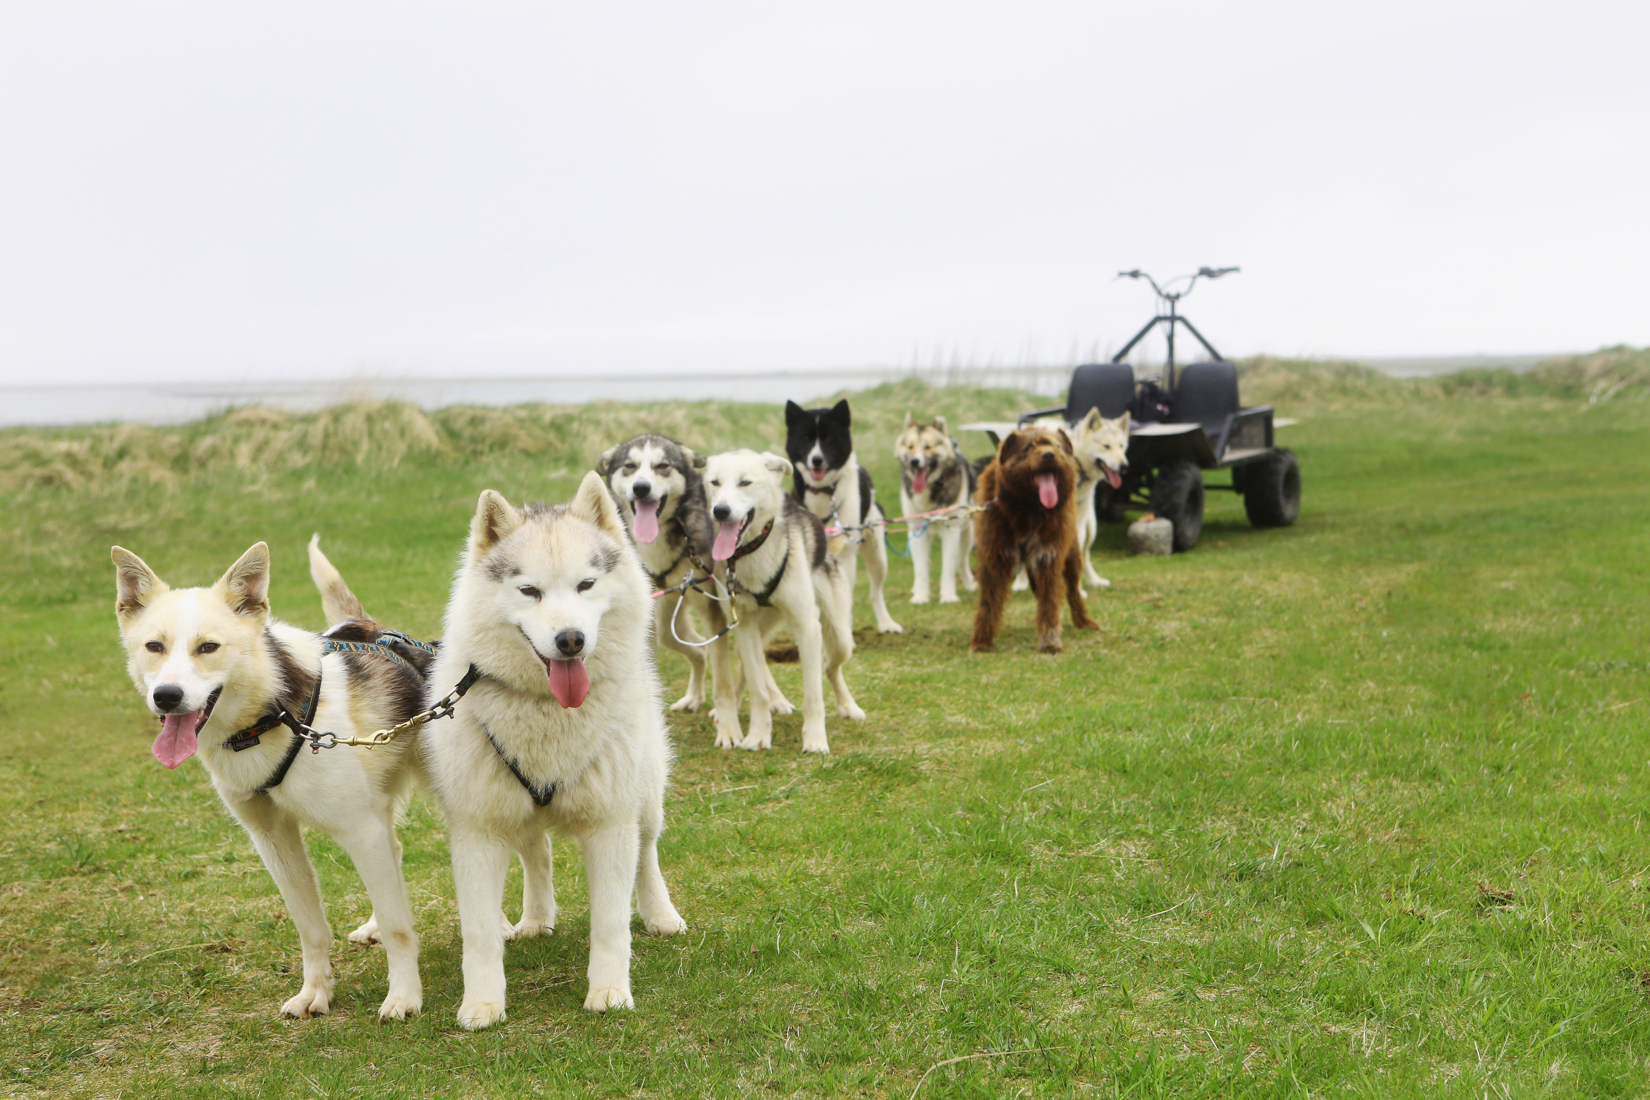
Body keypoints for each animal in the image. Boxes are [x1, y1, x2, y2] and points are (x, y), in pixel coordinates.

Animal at [112, 540, 425, 1022]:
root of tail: (373, 627)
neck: (269, 715)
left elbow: (398, 928)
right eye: (154, 646)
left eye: (208, 647)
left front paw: (405, 995)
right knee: (395, 851)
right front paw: (316, 991)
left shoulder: (359, 830)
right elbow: (310, 929)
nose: (166, 696)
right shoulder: (273, 838)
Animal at [425, 474, 689, 1035]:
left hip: (645, 799)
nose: (570, 639)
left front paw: (609, 991)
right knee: (538, 852)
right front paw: (483, 1002)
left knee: (648, 854)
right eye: (530, 591)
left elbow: (610, 923)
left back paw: (660, 913)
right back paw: (537, 919)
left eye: (586, 585)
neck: (547, 709)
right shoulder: (478, 832)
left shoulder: (611, 826)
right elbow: (479, 932)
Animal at [699, 451, 864, 752]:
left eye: (745, 482)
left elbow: (813, 696)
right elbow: (757, 689)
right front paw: (758, 734)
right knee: (750, 667)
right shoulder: (744, 628)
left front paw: (815, 739)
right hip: (753, 631)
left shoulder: (807, 628)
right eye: (714, 482)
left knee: (831, 668)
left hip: (839, 637)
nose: (720, 510)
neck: (753, 553)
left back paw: (848, 706)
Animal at [970, 425, 1102, 653]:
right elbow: (989, 601)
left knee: (1073, 591)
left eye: (1056, 446)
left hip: (1072, 557)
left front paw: (1050, 640)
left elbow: (1050, 600)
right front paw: (982, 640)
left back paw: (1083, 621)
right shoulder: (994, 557)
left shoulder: (1048, 556)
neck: (1029, 507)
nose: (1049, 455)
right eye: (1029, 447)